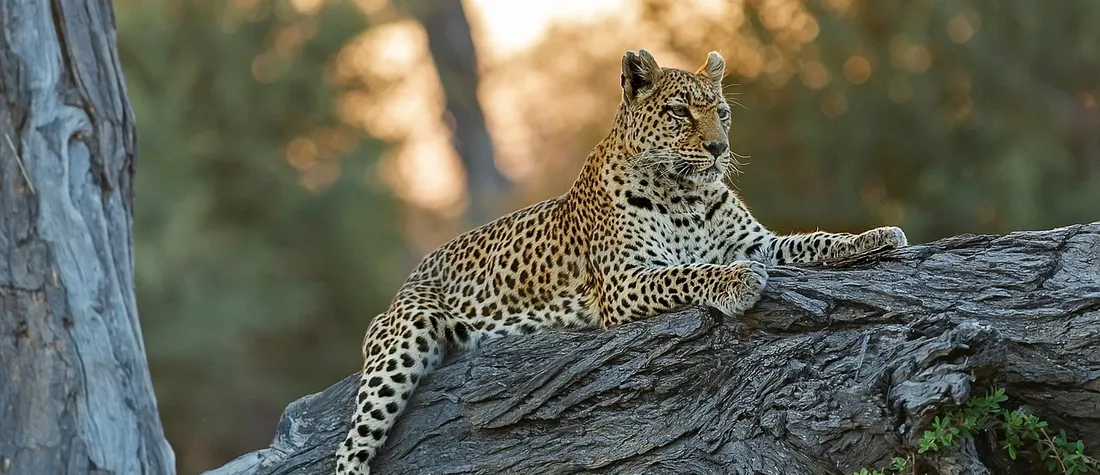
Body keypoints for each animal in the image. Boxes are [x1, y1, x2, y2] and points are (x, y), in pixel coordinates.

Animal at [334, 49, 908, 475]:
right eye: (680, 112)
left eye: (721, 112)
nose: (719, 148)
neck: (685, 194)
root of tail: (412, 274)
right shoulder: (623, 282)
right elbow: (687, 272)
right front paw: (736, 283)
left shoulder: (756, 241)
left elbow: (813, 242)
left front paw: (876, 236)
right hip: (406, 340)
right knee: (352, 444)